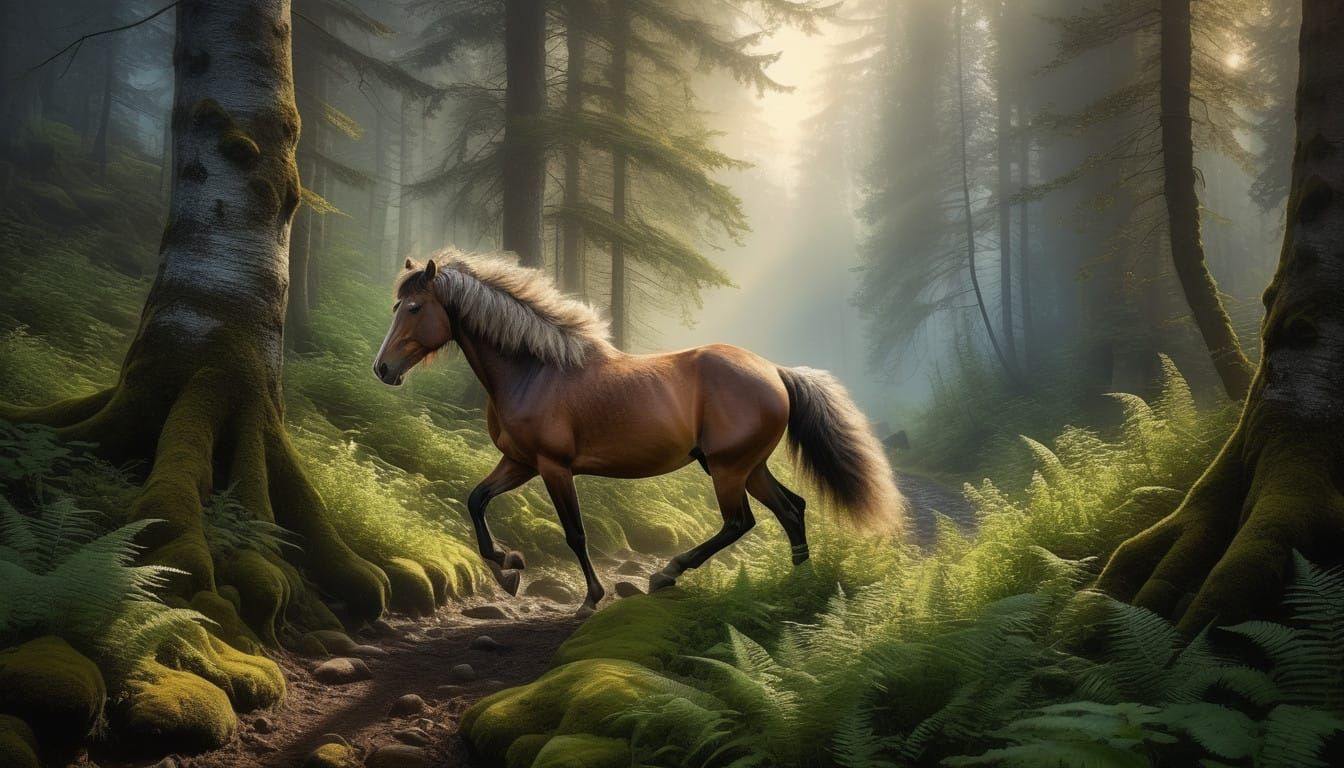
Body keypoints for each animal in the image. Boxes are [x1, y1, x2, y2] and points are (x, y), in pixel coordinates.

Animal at [374, 251, 905, 615]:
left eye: (415, 307)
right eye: (396, 306)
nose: (382, 369)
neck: (535, 370)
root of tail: (774, 371)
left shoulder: (552, 467)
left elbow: (575, 533)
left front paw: (590, 597)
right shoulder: (519, 462)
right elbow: (476, 500)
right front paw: (508, 568)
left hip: (727, 468)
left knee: (741, 522)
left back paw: (666, 574)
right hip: (748, 467)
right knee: (791, 510)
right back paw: (799, 589)